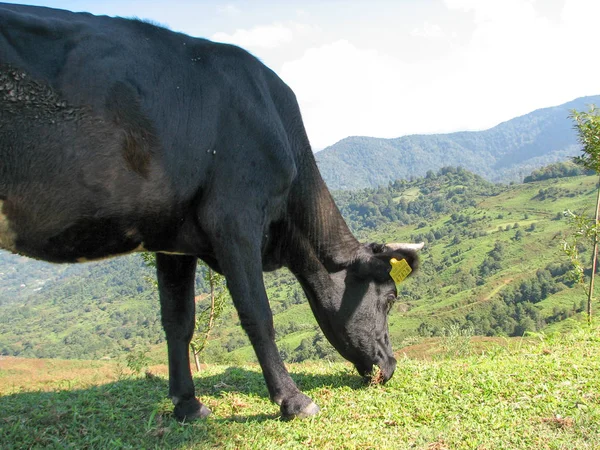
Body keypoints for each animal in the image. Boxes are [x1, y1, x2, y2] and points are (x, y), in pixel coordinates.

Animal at [0, 3, 422, 420]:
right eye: (390, 298)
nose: (390, 366)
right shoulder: (235, 218)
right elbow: (257, 314)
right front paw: (293, 400)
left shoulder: (172, 239)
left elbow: (178, 321)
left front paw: (187, 404)